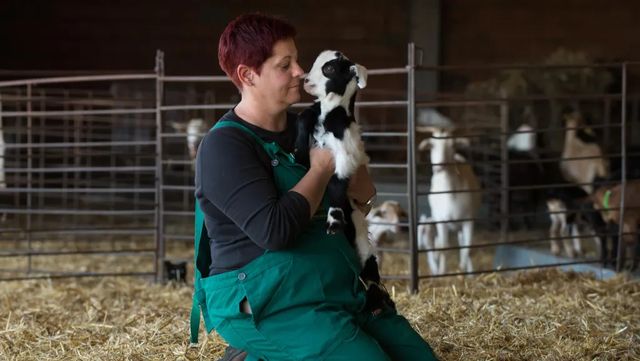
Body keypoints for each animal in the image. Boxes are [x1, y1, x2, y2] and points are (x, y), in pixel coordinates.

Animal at [420, 128, 480, 274]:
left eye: (452, 145)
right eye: (432, 145)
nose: (440, 166)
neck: (451, 195)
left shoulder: (468, 220)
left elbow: (467, 248)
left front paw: (463, 268)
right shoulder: (441, 221)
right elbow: (444, 247)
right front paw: (442, 271)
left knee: (463, 244)